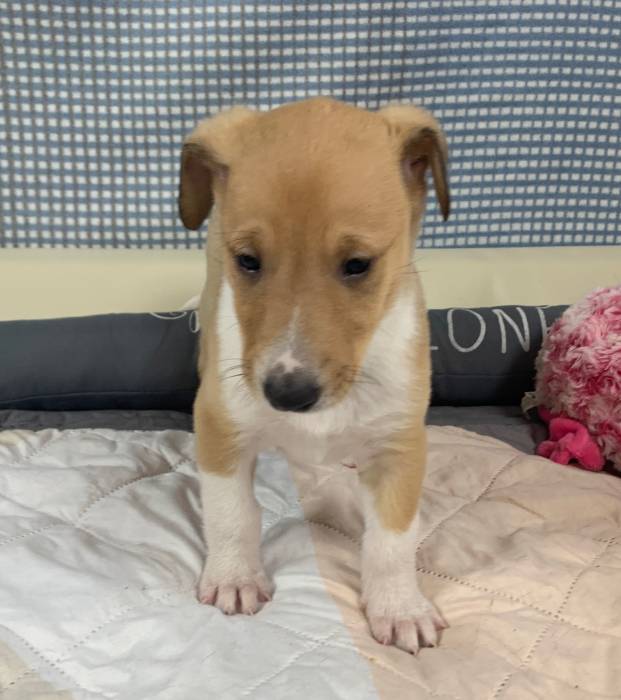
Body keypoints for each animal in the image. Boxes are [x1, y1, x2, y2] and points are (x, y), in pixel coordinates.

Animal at [179, 97, 450, 654]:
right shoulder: (220, 424)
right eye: (247, 260)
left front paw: (399, 608)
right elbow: (230, 512)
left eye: (358, 264)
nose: (287, 393)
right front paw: (234, 577)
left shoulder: (400, 443)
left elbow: (393, 540)